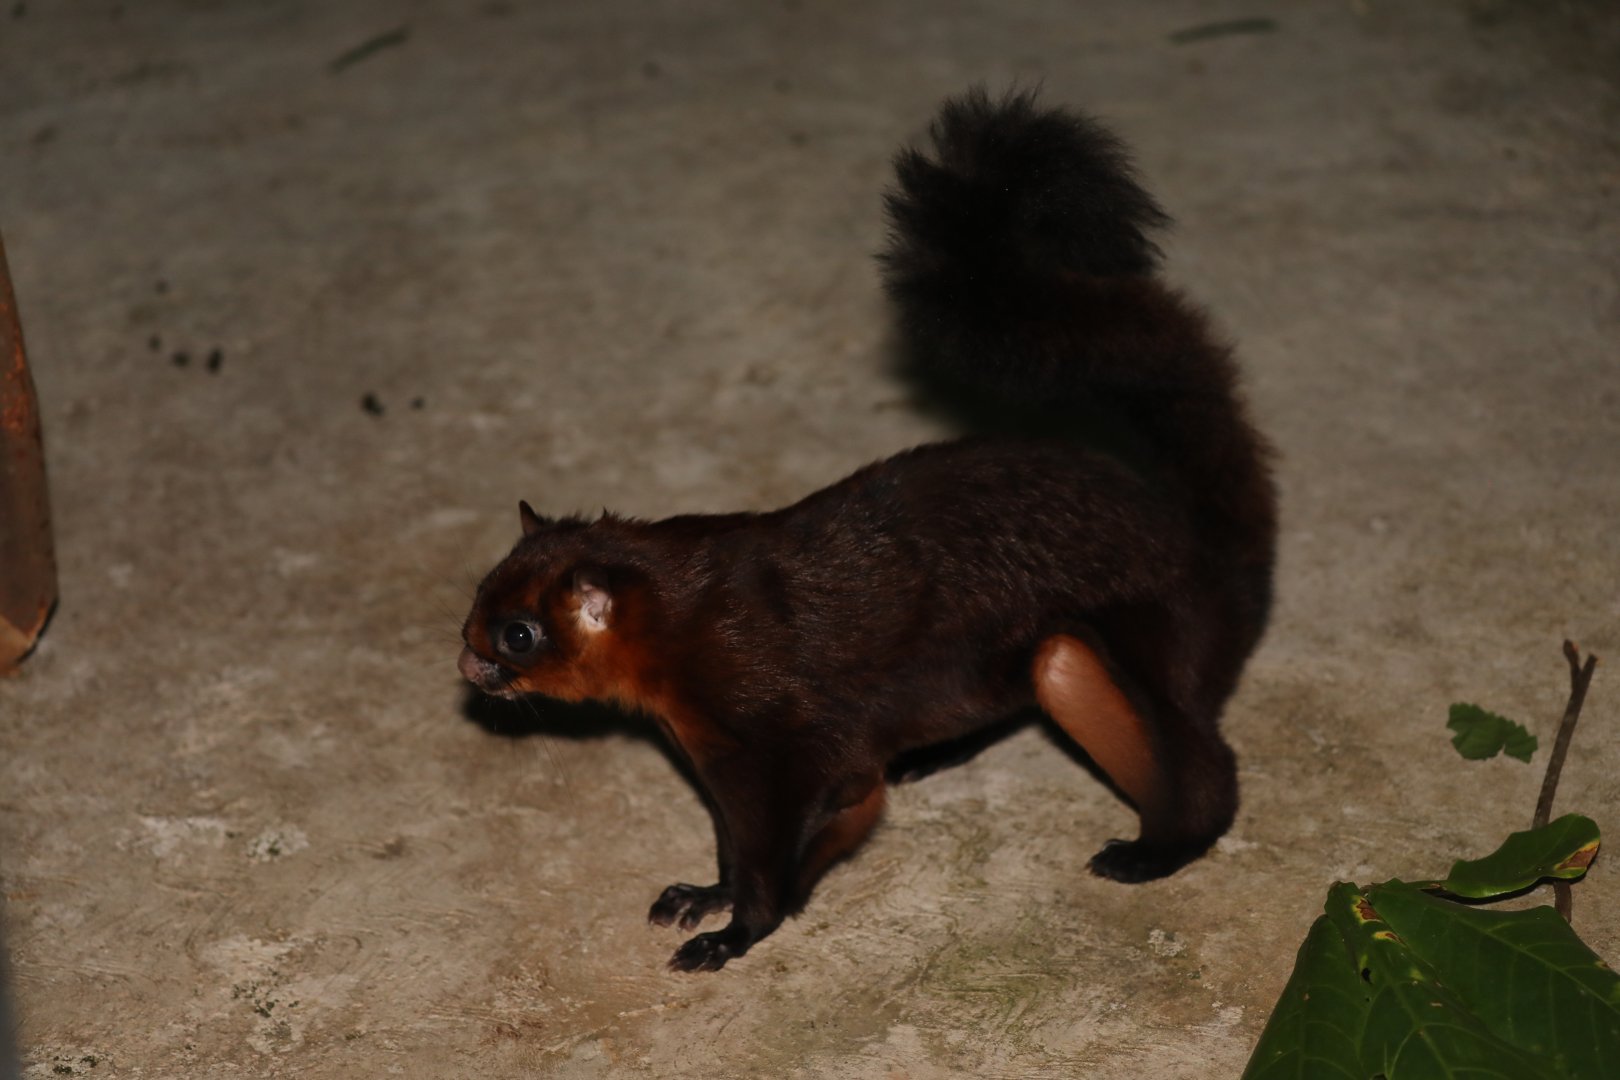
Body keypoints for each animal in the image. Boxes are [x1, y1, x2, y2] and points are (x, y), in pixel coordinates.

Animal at [458, 88, 1277, 972]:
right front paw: (705, 896)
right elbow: (739, 847)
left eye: (518, 635)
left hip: (1110, 654)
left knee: (1207, 770)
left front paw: (732, 934)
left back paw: (1154, 852)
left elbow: (785, 852)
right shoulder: (725, 761)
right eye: (476, 600)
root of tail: (1206, 540)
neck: (680, 628)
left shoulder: (791, 750)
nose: (464, 661)